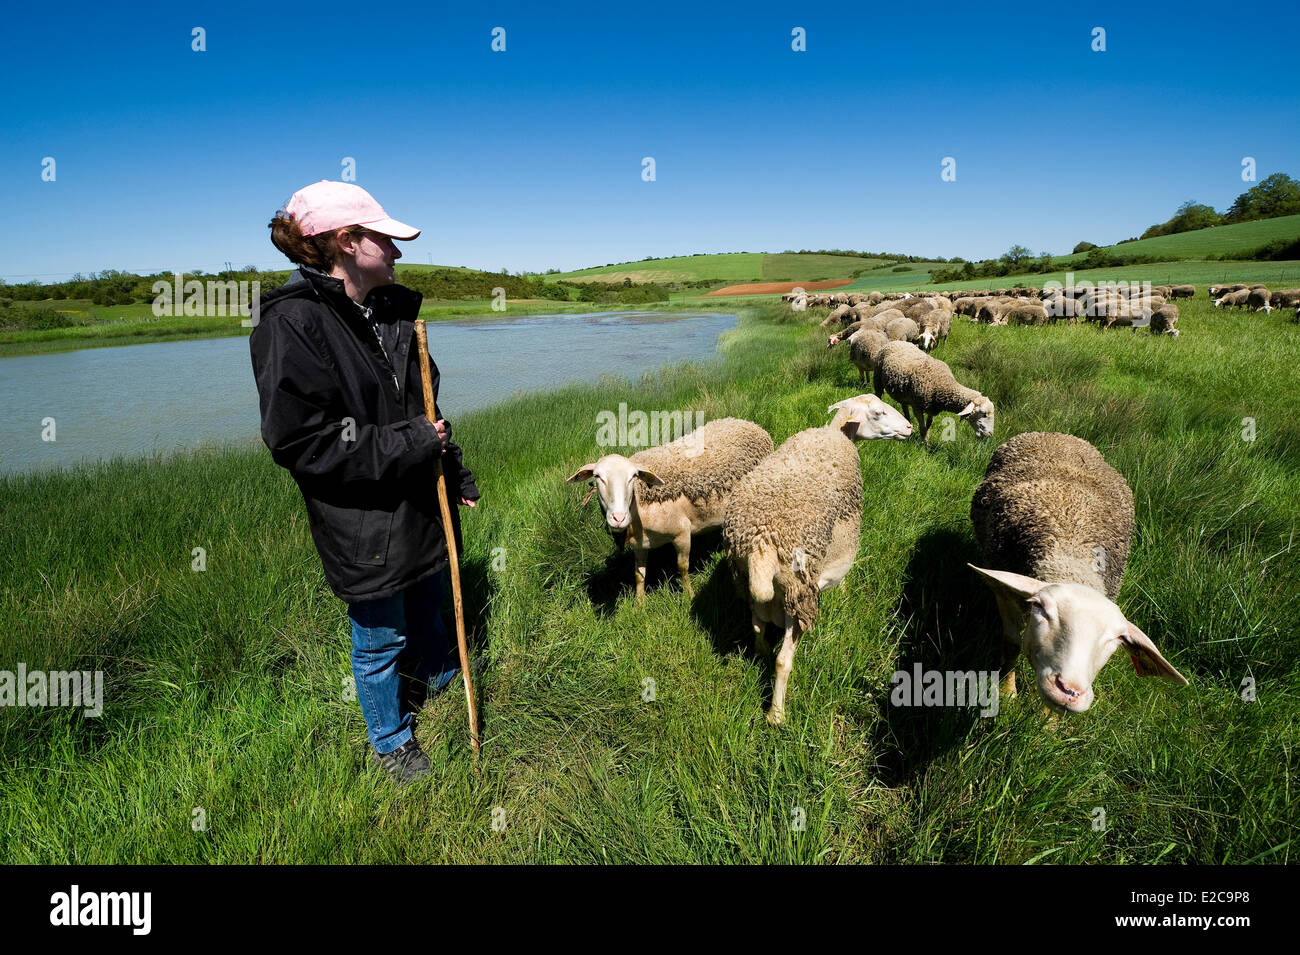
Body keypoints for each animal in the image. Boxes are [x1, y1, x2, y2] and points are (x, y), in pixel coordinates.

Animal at [566, 415, 769, 600]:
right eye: (597, 476)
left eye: (633, 476)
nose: (618, 518)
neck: (639, 508)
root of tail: (748, 423)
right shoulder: (639, 545)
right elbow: (639, 575)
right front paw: (639, 605)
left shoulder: (682, 533)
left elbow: (682, 568)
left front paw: (689, 595)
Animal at [722, 394, 915, 722]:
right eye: (878, 413)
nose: (909, 427)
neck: (838, 433)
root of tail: (762, 542)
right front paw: (845, 592)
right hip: (798, 594)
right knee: (783, 659)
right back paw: (776, 715)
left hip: (745, 578)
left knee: (758, 628)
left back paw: (761, 653)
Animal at [967, 431, 1190, 712]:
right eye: (1042, 609)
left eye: (1117, 639)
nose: (1069, 691)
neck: (1071, 552)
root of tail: (1058, 434)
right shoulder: (1005, 595)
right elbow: (1012, 644)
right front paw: (1007, 693)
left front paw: (1049, 719)